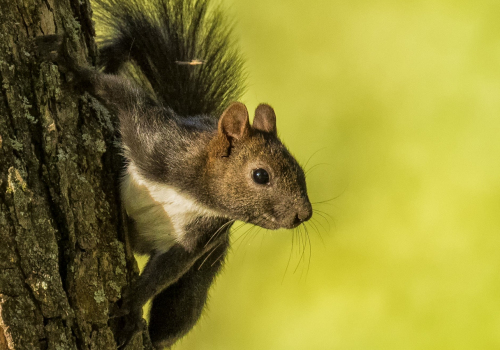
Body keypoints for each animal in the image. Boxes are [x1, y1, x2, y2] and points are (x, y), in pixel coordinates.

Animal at [38, 0, 312, 348]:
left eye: (300, 171)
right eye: (261, 175)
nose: (303, 214)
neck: (193, 191)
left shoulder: (202, 237)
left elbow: (167, 271)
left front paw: (131, 307)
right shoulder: (154, 139)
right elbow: (120, 94)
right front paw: (69, 63)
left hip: (203, 273)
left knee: (179, 309)